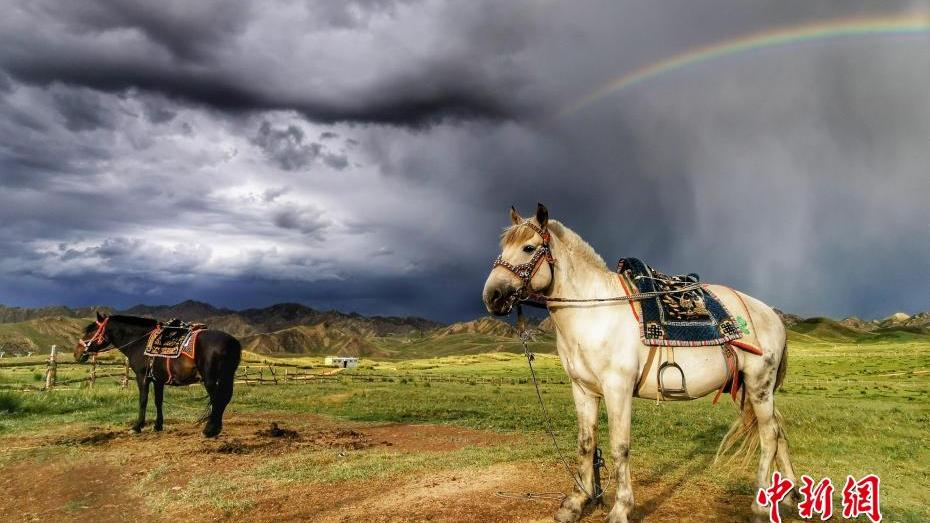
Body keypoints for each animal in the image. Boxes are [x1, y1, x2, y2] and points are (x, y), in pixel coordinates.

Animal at [75, 316, 241, 438]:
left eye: (91, 331)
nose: (77, 353)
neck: (140, 342)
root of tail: (232, 342)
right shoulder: (157, 379)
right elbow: (158, 401)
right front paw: (158, 425)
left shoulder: (142, 377)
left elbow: (143, 400)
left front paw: (137, 426)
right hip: (227, 377)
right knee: (224, 398)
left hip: (210, 379)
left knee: (218, 399)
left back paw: (210, 430)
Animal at [482, 205, 792, 523]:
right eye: (503, 247)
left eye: (528, 247)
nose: (492, 296)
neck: (594, 311)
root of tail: (772, 315)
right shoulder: (583, 390)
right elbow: (585, 443)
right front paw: (576, 503)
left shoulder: (616, 389)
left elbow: (620, 447)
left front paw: (620, 508)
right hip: (750, 388)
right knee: (779, 433)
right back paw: (787, 497)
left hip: (759, 385)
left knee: (769, 436)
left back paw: (760, 507)